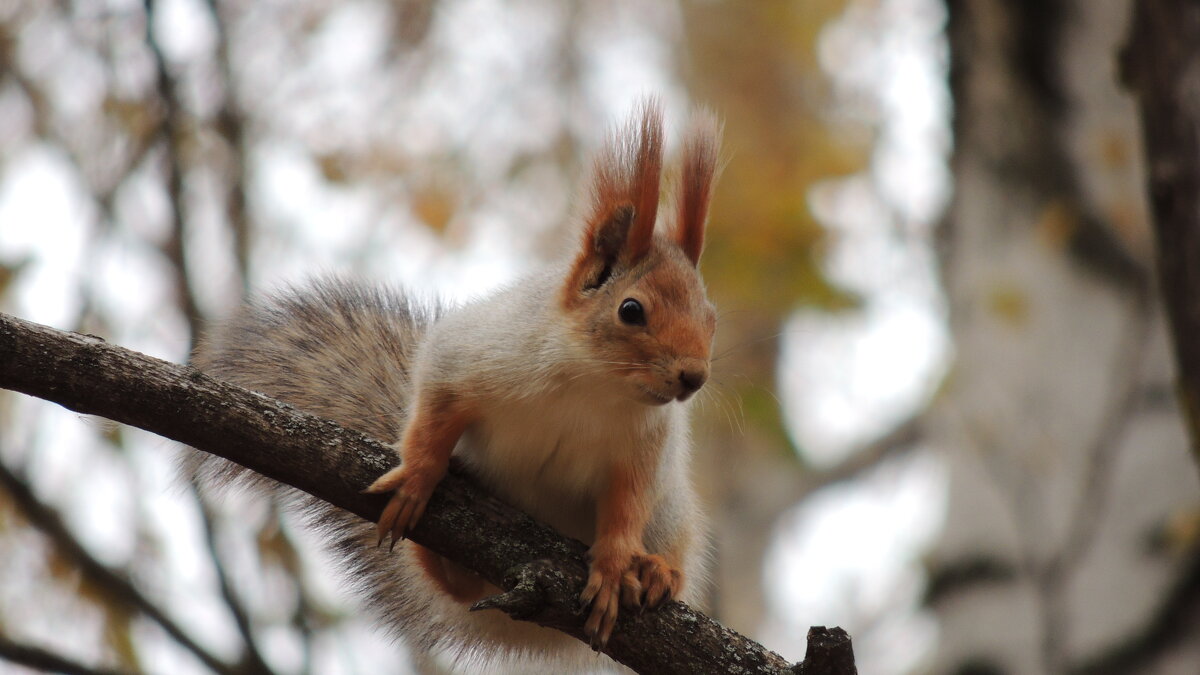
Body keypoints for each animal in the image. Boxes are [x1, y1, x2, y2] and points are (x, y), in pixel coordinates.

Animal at [187, 97, 720, 667]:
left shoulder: (644, 447)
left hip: (672, 512)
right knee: (458, 589)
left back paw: (657, 571)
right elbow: (436, 411)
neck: (593, 387)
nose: (693, 377)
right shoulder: (470, 357)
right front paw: (419, 476)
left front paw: (618, 564)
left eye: (712, 318)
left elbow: (626, 505)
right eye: (631, 310)